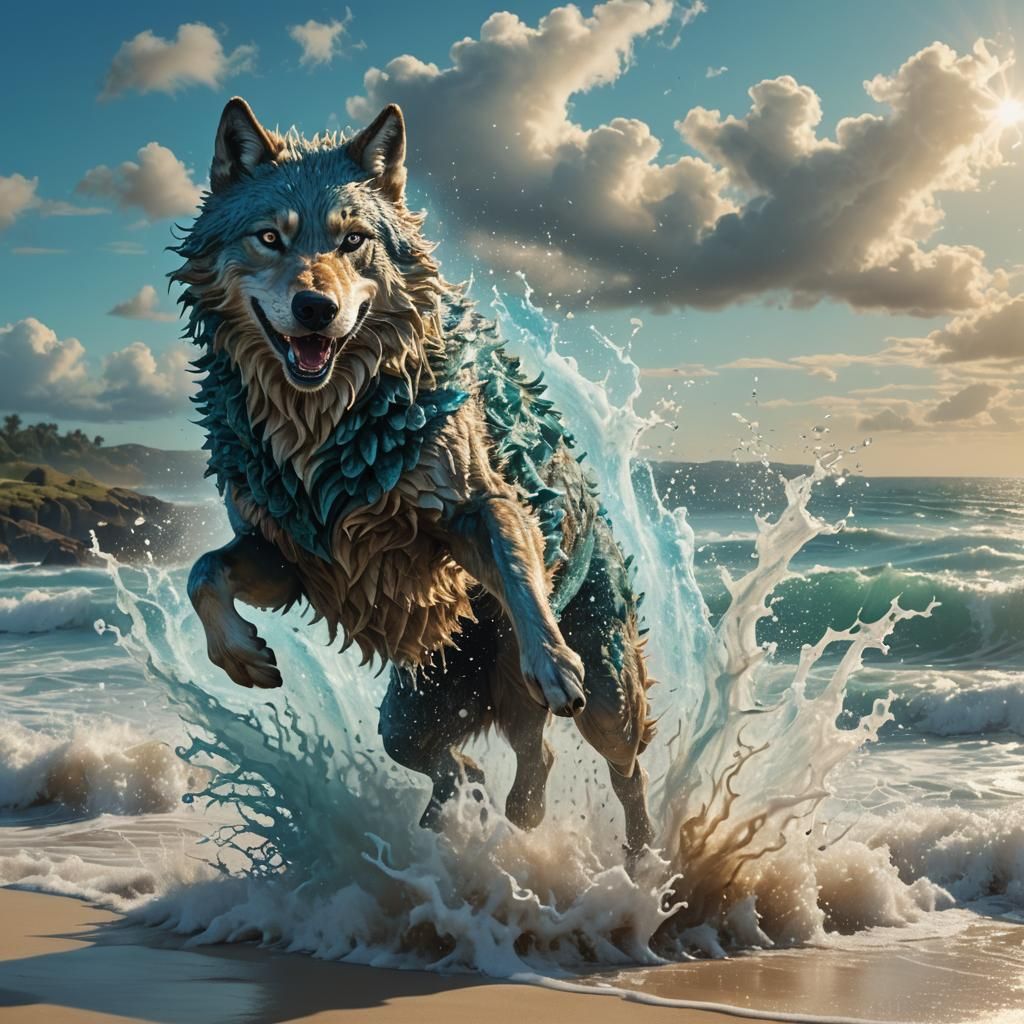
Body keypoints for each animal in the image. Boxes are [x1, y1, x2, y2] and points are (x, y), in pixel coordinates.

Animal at [179, 97, 656, 859]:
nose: (315, 309)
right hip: (412, 713)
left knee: (625, 767)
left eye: (353, 241)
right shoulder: (290, 556)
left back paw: (643, 857)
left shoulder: (477, 506)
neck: (321, 426)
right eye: (269, 238)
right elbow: (203, 574)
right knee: (495, 759)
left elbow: (517, 568)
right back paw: (486, 813)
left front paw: (551, 658)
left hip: (606, 696)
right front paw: (241, 658)